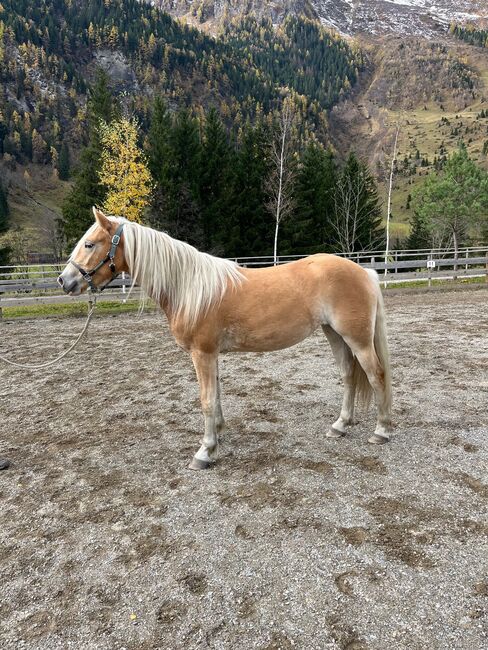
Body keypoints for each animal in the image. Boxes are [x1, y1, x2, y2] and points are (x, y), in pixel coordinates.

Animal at [58, 208, 392, 470]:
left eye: (89, 244)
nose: (64, 280)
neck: (189, 288)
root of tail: (364, 272)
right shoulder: (211, 354)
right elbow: (216, 394)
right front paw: (217, 434)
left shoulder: (202, 353)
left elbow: (206, 399)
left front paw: (205, 451)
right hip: (334, 334)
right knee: (348, 375)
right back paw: (340, 426)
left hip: (357, 339)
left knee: (376, 375)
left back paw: (381, 431)